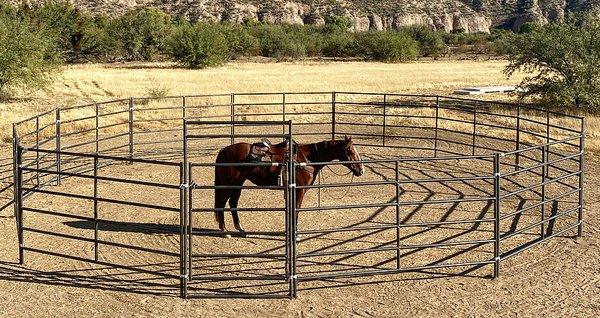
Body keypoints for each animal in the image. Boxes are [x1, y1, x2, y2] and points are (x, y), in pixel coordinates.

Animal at [213, 137, 364, 236]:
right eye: (350, 150)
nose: (361, 170)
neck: (306, 159)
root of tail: (224, 151)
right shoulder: (300, 191)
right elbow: (296, 210)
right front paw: (295, 234)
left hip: (238, 184)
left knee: (233, 203)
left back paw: (239, 228)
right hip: (228, 185)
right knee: (221, 204)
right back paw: (224, 231)